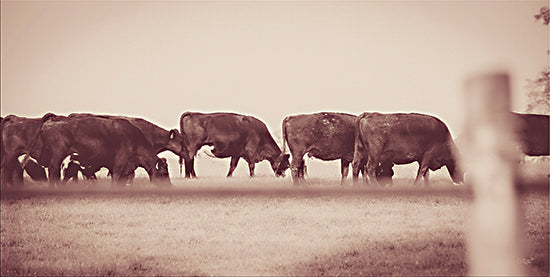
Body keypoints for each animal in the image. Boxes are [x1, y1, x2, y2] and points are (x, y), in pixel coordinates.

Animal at [22, 113, 171, 187]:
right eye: (164, 173)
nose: (170, 186)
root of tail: (52, 120)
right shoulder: (120, 161)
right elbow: (116, 178)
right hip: (58, 156)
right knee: (54, 172)